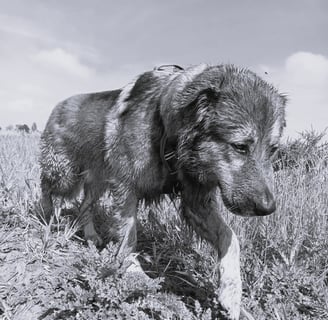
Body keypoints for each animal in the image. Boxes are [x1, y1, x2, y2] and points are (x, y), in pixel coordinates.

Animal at [40, 63, 288, 318]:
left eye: (273, 149)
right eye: (240, 147)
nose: (268, 208)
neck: (168, 129)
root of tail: (60, 103)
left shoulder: (196, 201)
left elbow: (231, 239)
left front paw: (232, 293)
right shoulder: (125, 187)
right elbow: (129, 237)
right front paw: (132, 273)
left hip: (97, 180)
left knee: (84, 205)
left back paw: (90, 235)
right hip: (64, 174)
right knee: (46, 187)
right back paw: (45, 215)